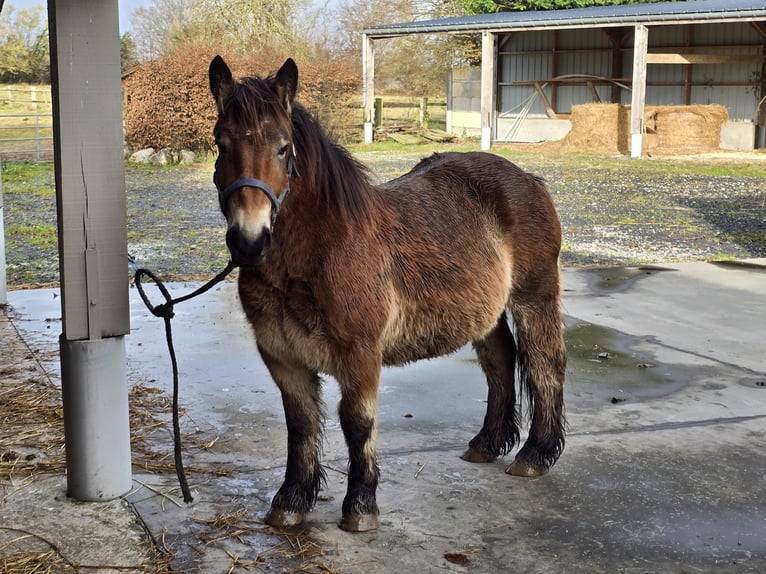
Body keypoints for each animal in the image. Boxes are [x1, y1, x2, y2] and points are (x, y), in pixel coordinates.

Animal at [207, 56, 568, 532]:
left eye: (283, 148)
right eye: (221, 144)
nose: (249, 242)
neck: (322, 249)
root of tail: (528, 179)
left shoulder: (360, 354)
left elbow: (357, 423)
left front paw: (361, 506)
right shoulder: (282, 357)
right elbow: (300, 425)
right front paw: (292, 500)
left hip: (534, 297)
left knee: (545, 364)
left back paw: (535, 455)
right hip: (483, 312)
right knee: (500, 361)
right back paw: (487, 443)